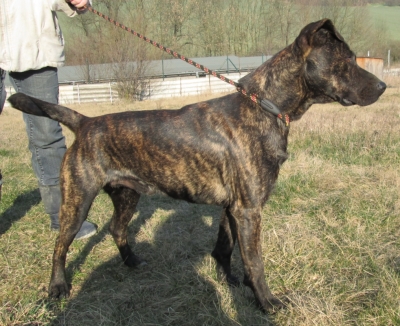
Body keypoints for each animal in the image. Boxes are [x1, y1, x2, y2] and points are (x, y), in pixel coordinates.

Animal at [8, 18, 384, 314]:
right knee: (60, 245)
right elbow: (255, 261)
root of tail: (86, 122)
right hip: (77, 199)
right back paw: (58, 288)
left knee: (117, 229)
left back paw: (132, 262)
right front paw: (266, 302)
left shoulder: (233, 208)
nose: (382, 86)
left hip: (127, 194)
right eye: (347, 61)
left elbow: (225, 248)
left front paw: (231, 282)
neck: (264, 107)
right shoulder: (249, 210)